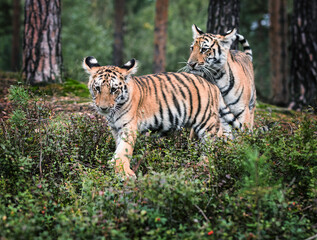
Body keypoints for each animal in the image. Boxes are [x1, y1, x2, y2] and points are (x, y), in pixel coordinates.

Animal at [82, 55, 241, 176]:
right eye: (97, 88)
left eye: (114, 90)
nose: (103, 108)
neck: (114, 111)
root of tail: (212, 86)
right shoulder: (115, 129)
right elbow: (118, 148)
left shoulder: (128, 127)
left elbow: (124, 150)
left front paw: (124, 173)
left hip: (207, 122)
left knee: (213, 143)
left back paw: (206, 165)